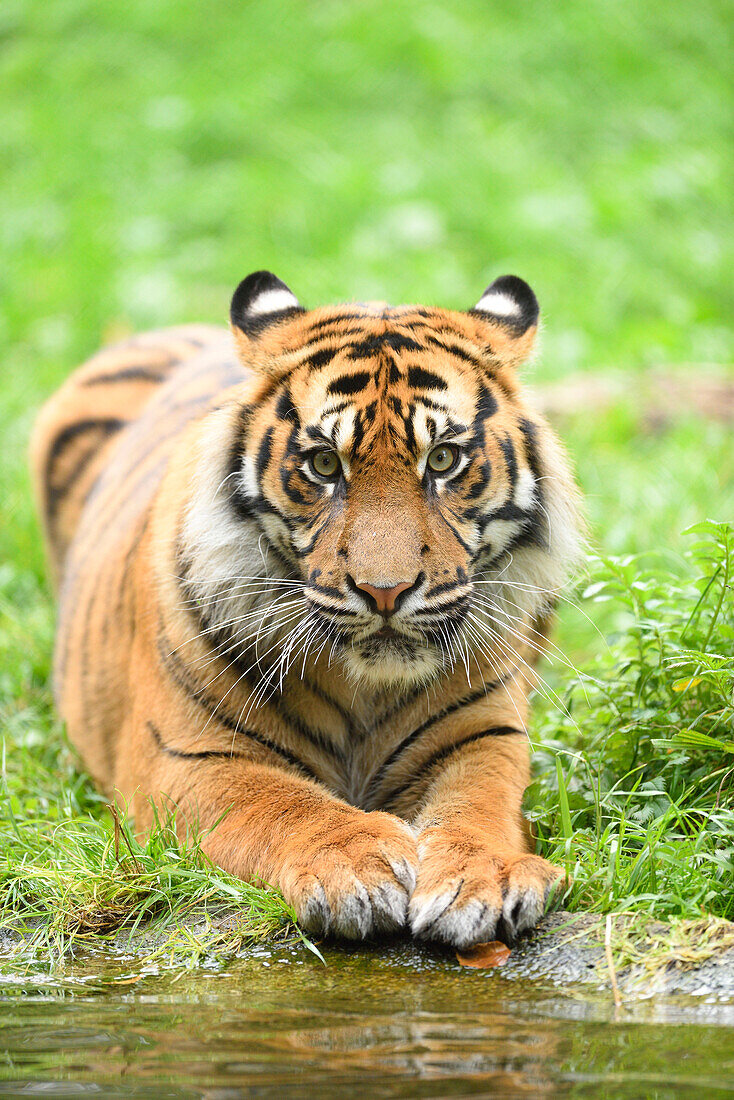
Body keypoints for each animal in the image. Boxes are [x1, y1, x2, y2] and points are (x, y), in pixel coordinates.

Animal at [31, 272, 585, 946]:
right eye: (324, 465)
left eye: (443, 460)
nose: (384, 591)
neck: (366, 689)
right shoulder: (184, 756)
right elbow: (281, 805)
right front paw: (357, 864)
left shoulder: (482, 735)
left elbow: (479, 807)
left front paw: (487, 875)